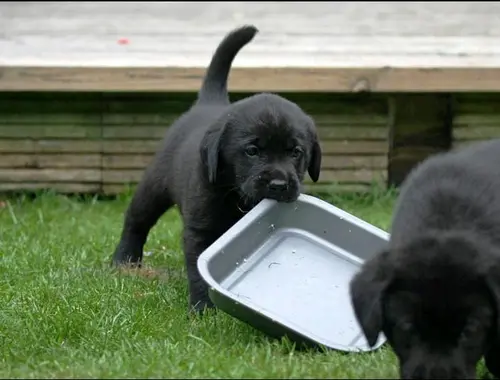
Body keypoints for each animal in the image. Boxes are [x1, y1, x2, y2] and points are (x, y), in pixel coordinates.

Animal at [111, 25, 322, 314]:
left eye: (296, 152)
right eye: (252, 151)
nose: (279, 185)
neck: (236, 196)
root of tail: (207, 103)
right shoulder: (201, 231)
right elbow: (199, 273)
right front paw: (202, 309)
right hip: (153, 187)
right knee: (136, 221)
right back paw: (124, 260)